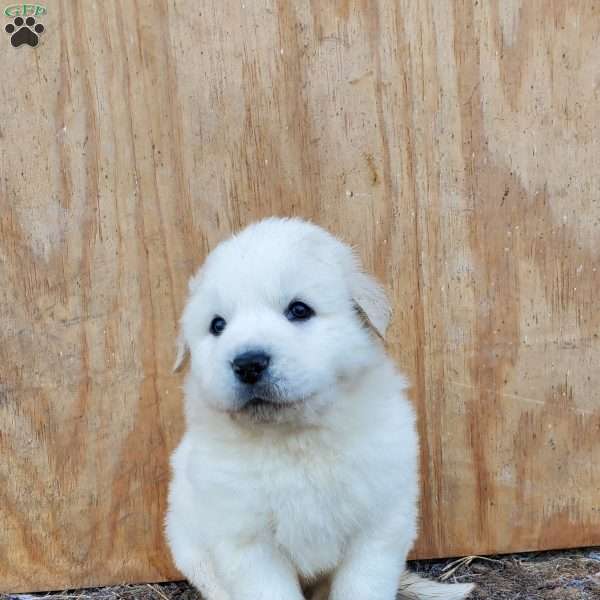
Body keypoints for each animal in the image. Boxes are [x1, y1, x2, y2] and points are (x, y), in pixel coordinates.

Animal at [165, 217, 474, 600]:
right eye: (217, 325)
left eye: (299, 310)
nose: (248, 364)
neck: (296, 440)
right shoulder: (247, 543)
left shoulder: (378, 526)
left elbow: (361, 588)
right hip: (192, 551)